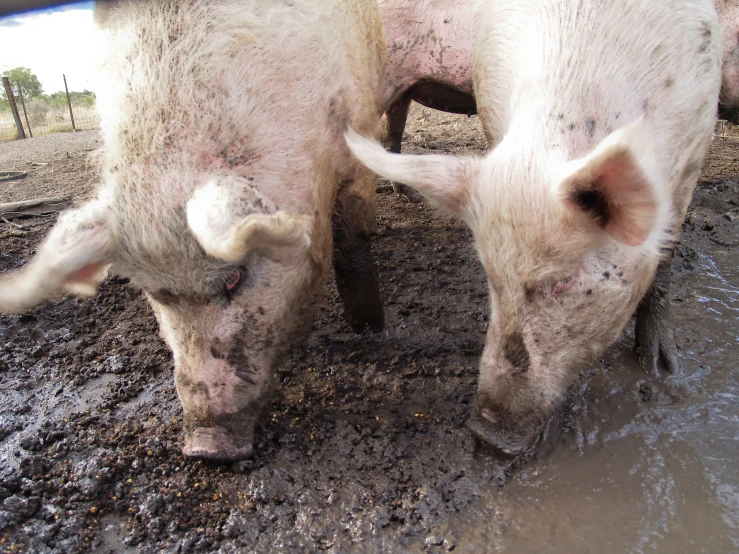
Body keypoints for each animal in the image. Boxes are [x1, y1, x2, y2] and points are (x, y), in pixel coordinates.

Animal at [0, 0, 388, 458]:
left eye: (234, 278)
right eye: (155, 294)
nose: (205, 446)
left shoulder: (356, 120)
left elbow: (352, 235)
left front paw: (369, 328)